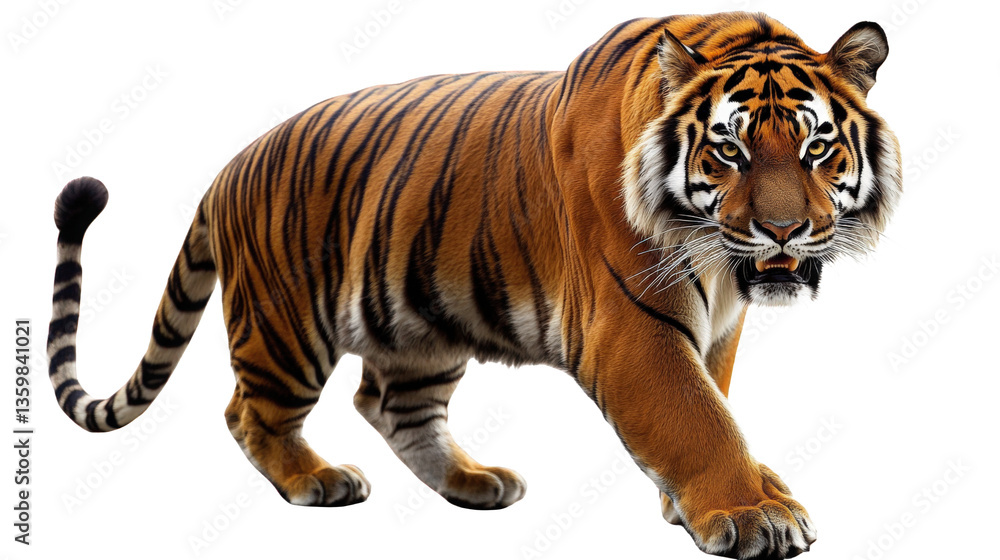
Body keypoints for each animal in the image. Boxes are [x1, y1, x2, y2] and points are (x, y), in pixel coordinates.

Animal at [47, 12, 900, 559]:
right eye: (729, 149)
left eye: (818, 147)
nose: (784, 232)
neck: (721, 263)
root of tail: (228, 167)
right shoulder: (633, 328)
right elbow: (697, 417)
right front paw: (755, 515)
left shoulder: (716, 325)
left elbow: (713, 402)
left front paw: (704, 502)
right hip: (286, 326)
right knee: (250, 413)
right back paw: (315, 480)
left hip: (418, 325)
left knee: (391, 406)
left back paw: (472, 482)